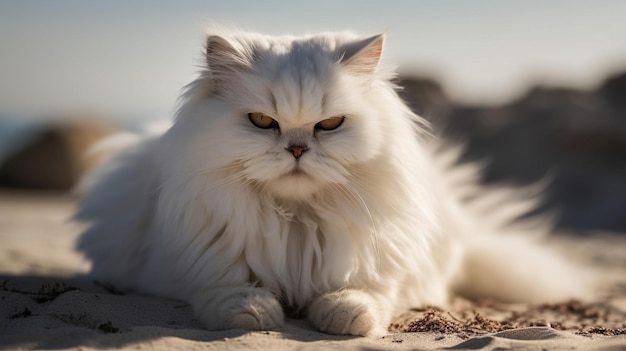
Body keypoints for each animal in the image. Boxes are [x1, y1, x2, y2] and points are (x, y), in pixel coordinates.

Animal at [73, 28, 588, 336]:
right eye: (263, 122)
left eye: (331, 124)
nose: (298, 149)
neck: (298, 221)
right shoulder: (191, 267)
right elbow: (227, 290)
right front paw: (256, 312)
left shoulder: (387, 271)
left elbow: (364, 297)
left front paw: (343, 316)